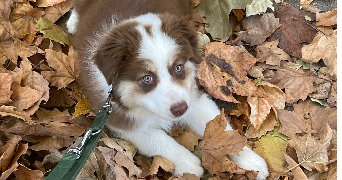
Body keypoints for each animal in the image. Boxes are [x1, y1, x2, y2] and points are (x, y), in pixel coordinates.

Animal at [67, 0, 270, 179]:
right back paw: (73, 22)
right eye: (147, 78)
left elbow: (220, 128)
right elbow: (157, 140)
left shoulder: (192, 96)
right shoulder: (120, 119)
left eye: (178, 68)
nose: (180, 109)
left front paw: (251, 161)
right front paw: (188, 164)